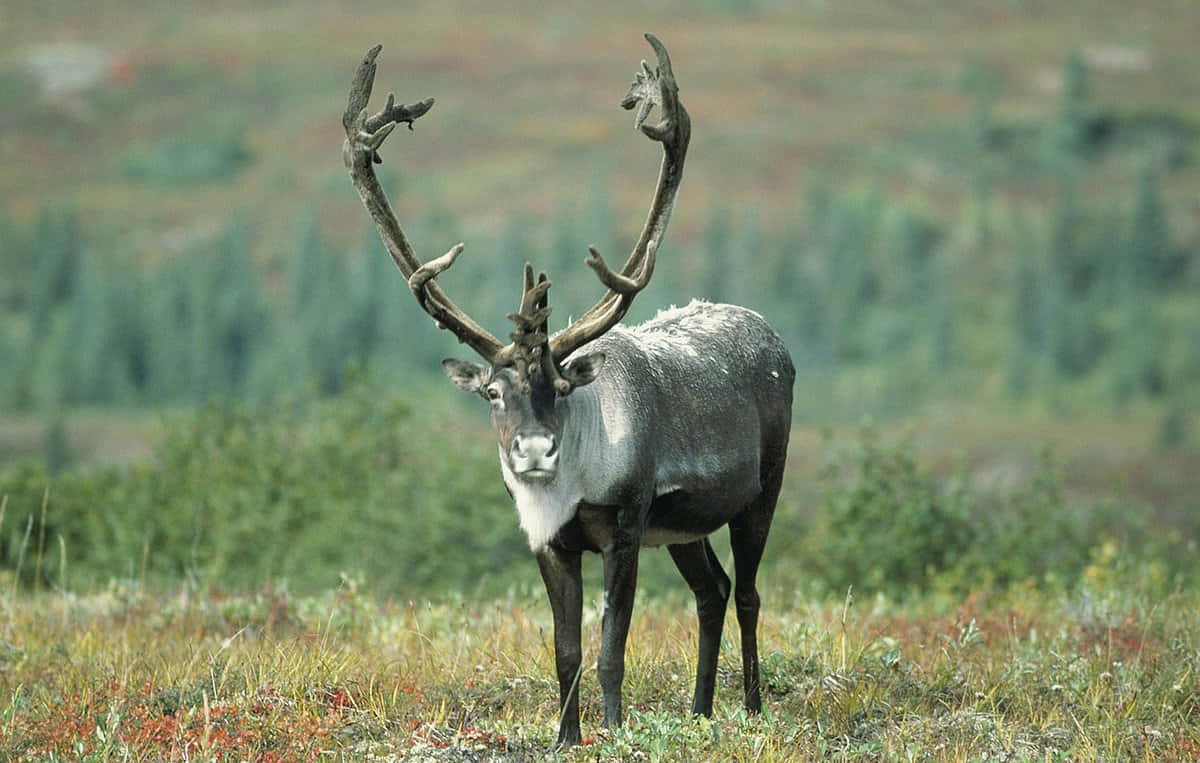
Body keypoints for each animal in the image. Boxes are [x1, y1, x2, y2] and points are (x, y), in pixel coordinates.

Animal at [342, 34, 793, 748]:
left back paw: (749, 709)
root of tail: (773, 337)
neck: (570, 487)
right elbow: (565, 649)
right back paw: (700, 713)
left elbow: (610, 647)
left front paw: (614, 731)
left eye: (559, 383)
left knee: (747, 592)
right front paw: (565, 738)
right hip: (684, 527)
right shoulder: (551, 544)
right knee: (713, 591)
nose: (533, 451)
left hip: (761, 488)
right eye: (491, 393)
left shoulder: (626, 527)